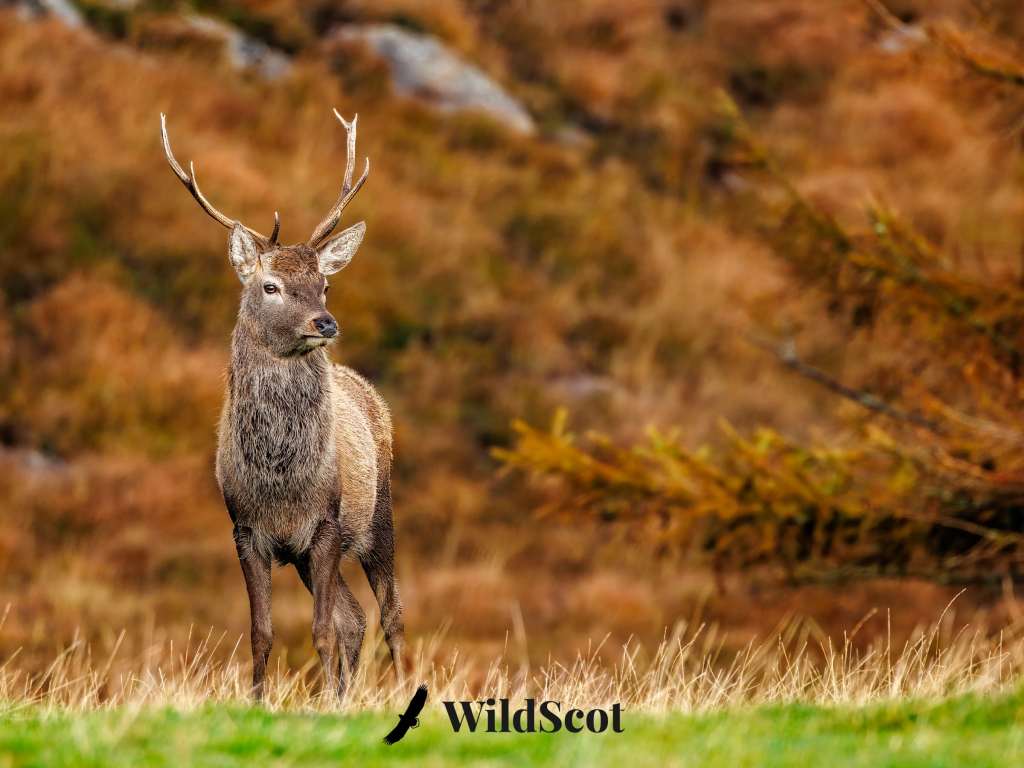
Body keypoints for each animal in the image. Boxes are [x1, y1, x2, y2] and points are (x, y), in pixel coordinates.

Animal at [159, 110, 404, 701]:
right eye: (270, 286)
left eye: (324, 285)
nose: (325, 322)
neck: (281, 480)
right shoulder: (247, 530)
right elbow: (263, 632)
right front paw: (258, 700)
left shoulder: (326, 524)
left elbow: (320, 631)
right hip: (309, 555)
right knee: (355, 616)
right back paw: (345, 693)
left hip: (376, 512)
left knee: (389, 614)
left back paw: (407, 685)